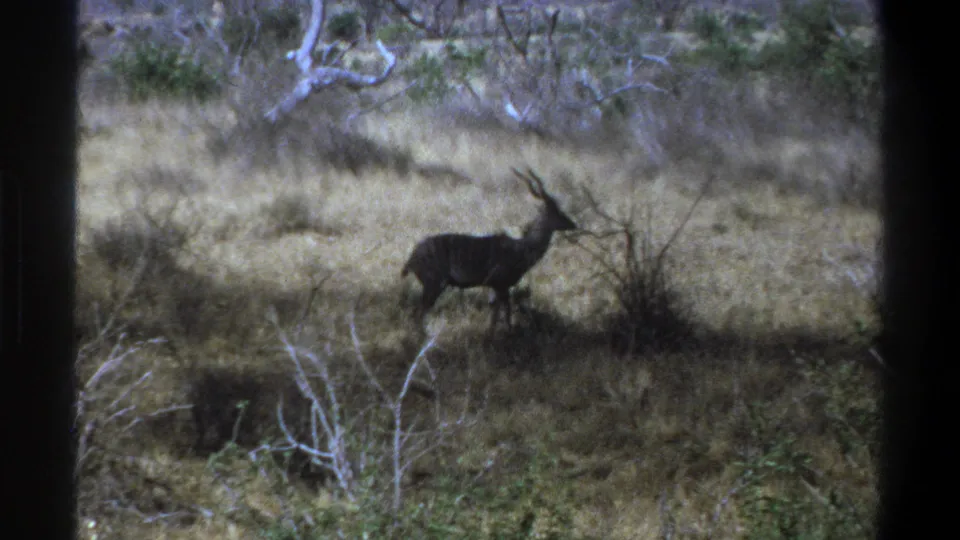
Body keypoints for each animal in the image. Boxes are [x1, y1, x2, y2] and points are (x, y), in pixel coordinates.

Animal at [401, 168, 578, 332]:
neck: (522, 249)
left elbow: (497, 313)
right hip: (434, 283)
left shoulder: (496, 287)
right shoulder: (500, 284)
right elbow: (504, 313)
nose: (573, 224)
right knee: (418, 312)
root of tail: (411, 260)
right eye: (558, 212)